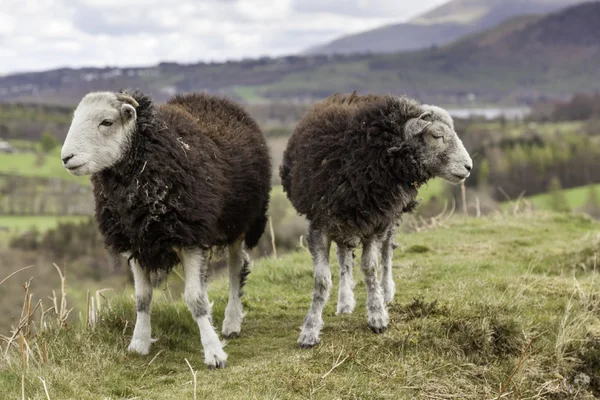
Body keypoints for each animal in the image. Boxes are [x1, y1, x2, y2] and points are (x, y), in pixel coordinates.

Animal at [59, 90, 270, 368]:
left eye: (107, 122)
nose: (66, 158)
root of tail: (213, 98)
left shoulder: (190, 237)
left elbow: (195, 300)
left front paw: (214, 352)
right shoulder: (135, 243)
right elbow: (143, 298)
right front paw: (139, 342)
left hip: (240, 220)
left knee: (236, 269)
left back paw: (231, 322)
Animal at [282, 91, 474, 346]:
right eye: (437, 135)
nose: (469, 167)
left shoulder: (376, 223)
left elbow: (371, 268)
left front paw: (377, 315)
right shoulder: (320, 224)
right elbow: (322, 280)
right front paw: (310, 329)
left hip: (388, 218)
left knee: (386, 253)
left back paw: (386, 291)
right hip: (345, 222)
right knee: (344, 257)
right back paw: (345, 301)